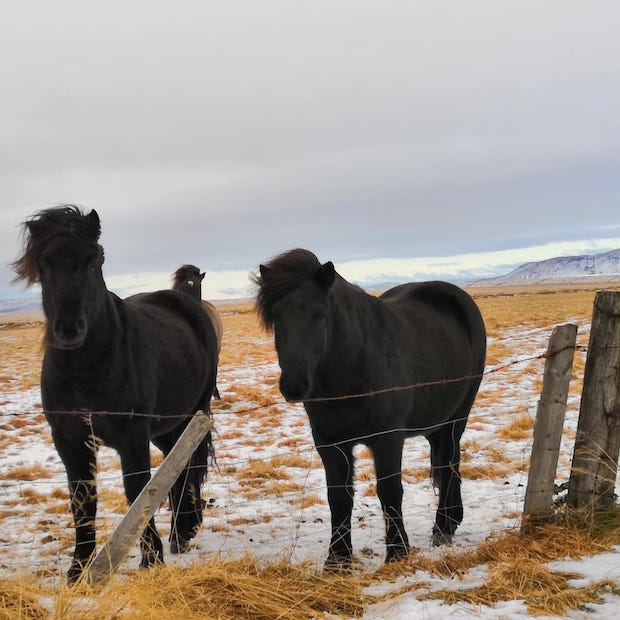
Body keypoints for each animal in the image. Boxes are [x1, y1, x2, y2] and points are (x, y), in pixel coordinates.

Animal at [10, 207, 220, 580]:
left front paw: (151, 559)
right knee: (176, 468)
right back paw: (182, 533)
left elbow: (138, 491)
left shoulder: (131, 436)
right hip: (166, 428)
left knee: (187, 467)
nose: (69, 329)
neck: (85, 369)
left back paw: (182, 533)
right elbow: (82, 501)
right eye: (44, 265)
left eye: (94, 261)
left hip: (192, 416)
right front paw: (78, 571)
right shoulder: (69, 441)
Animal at [254, 248, 486, 568]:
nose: (294, 385)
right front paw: (337, 559)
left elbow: (390, 492)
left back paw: (442, 528)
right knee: (447, 461)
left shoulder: (388, 439)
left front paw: (397, 552)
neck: (354, 370)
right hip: (435, 422)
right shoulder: (330, 443)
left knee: (449, 463)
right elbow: (339, 497)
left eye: (320, 314)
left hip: (457, 417)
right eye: (276, 318)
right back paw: (450, 522)